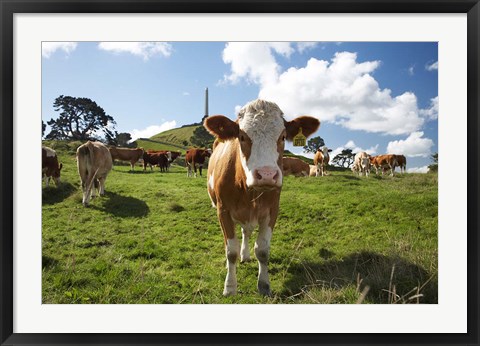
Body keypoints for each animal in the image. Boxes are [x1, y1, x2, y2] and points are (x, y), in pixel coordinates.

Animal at [202, 98, 318, 296]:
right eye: (242, 136)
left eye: (282, 137)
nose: (266, 175)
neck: (250, 191)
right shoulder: (223, 211)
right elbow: (230, 251)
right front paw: (230, 287)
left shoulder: (272, 211)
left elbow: (262, 250)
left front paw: (264, 285)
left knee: (246, 232)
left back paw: (246, 255)